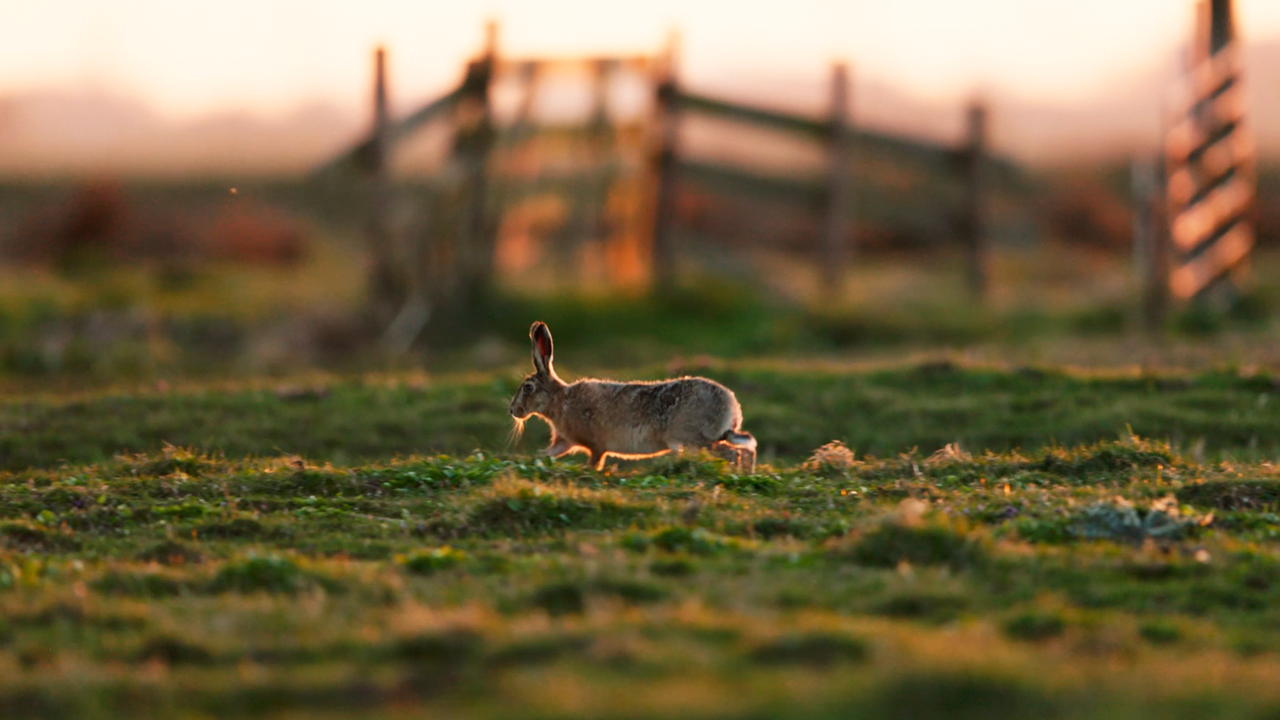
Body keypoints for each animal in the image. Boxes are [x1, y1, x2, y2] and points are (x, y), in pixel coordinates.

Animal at [509, 321, 757, 472]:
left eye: (528, 388)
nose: (513, 410)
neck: (559, 400)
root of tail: (732, 409)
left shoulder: (595, 445)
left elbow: (595, 460)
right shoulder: (564, 441)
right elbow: (548, 453)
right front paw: (531, 460)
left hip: (690, 438)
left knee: (732, 453)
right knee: (747, 448)